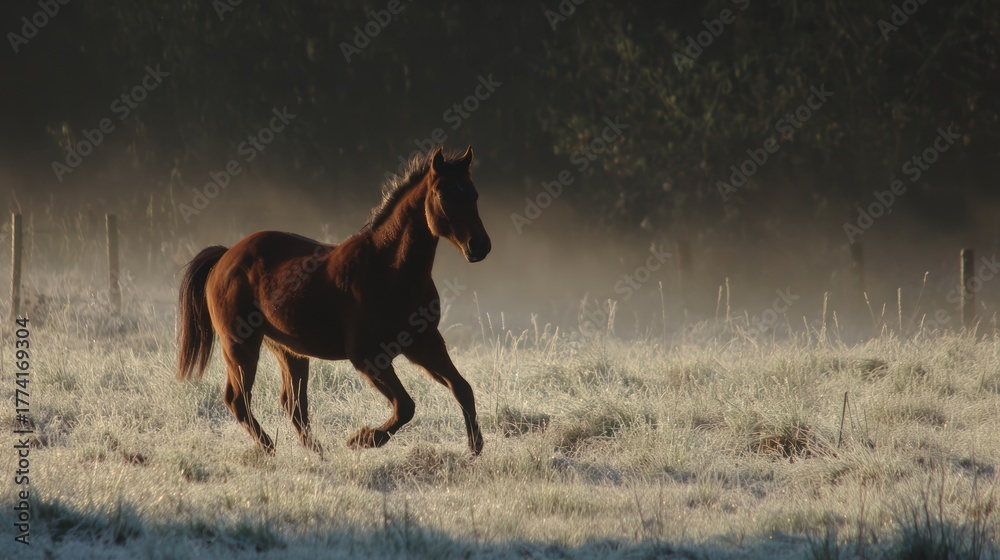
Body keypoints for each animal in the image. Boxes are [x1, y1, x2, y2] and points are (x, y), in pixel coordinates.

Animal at [176, 146, 491, 456]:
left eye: (474, 194)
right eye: (443, 195)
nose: (479, 246)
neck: (389, 269)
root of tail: (224, 257)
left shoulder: (424, 344)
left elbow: (462, 388)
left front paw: (475, 448)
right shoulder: (368, 357)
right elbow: (406, 406)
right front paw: (362, 439)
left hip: (288, 350)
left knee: (292, 403)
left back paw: (318, 453)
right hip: (239, 345)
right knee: (238, 399)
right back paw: (270, 449)